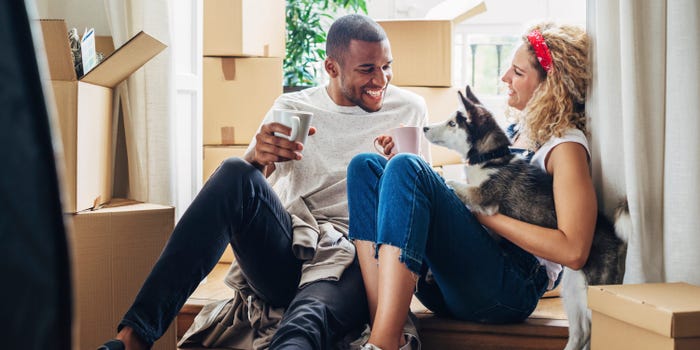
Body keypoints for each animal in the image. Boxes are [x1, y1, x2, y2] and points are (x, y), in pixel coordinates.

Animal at [424, 85, 632, 350]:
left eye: (452, 123)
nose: (424, 128)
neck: (490, 158)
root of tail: (615, 236)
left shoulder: (483, 197)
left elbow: (450, 183)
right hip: (572, 290)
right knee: (580, 333)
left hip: (591, 293)